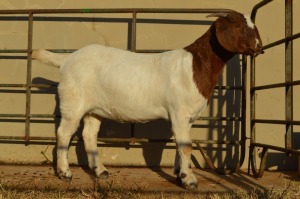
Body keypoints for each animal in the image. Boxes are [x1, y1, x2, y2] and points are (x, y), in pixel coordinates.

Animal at [31, 10, 264, 190]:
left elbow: (180, 144)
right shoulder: (179, 112)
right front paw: (189, 181)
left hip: (93, 109)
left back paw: (100, 171)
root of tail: (67, 59)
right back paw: (65, 173)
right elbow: (186, 146)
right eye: (237, 25)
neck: (196, 65)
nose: (259, 47)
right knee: (64, 133)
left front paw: (179, 173)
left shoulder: (186, 118)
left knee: (89, 134)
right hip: (73, 102)